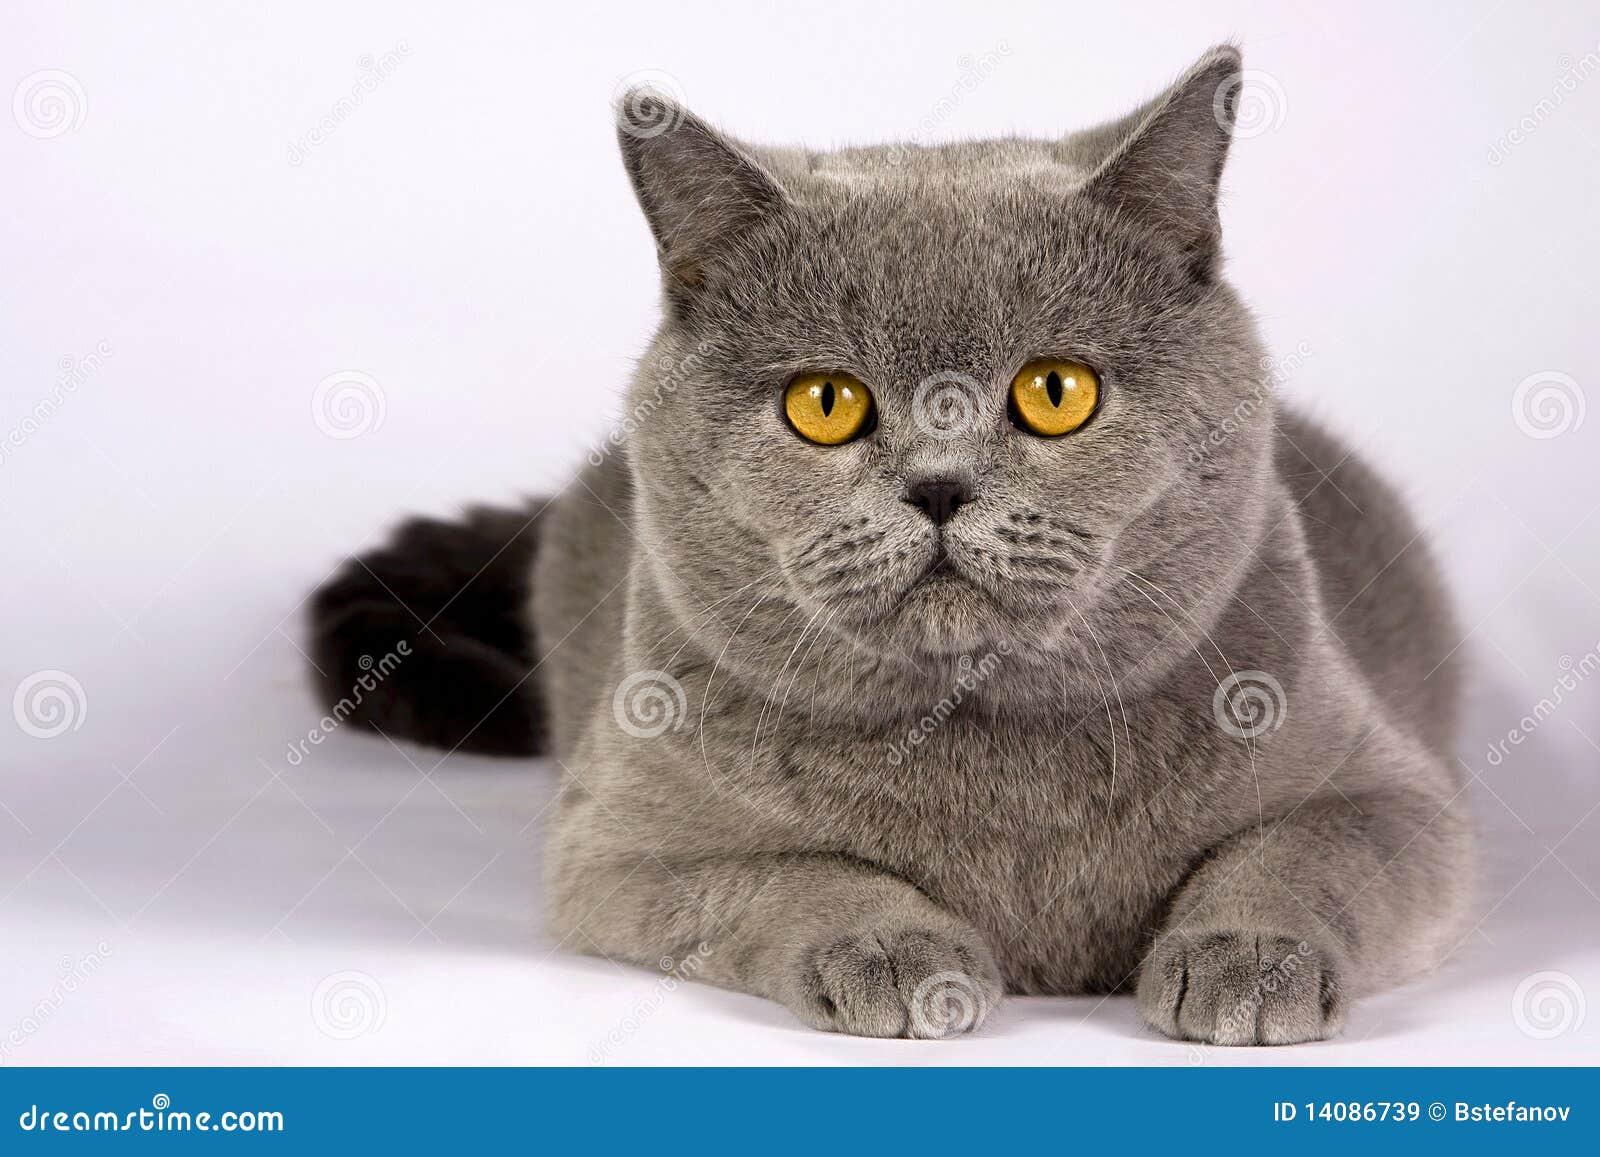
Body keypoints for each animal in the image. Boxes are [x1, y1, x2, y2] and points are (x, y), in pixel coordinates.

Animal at [308, 45, 1472, 1043]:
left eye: (1056, 391)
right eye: (825, 403)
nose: (939, 486)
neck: (982, 742)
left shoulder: (1396, 791)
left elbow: (1305, 850)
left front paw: (1249, 959)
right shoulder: (616, 841)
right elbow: (786, 872)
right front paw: (895, 948)